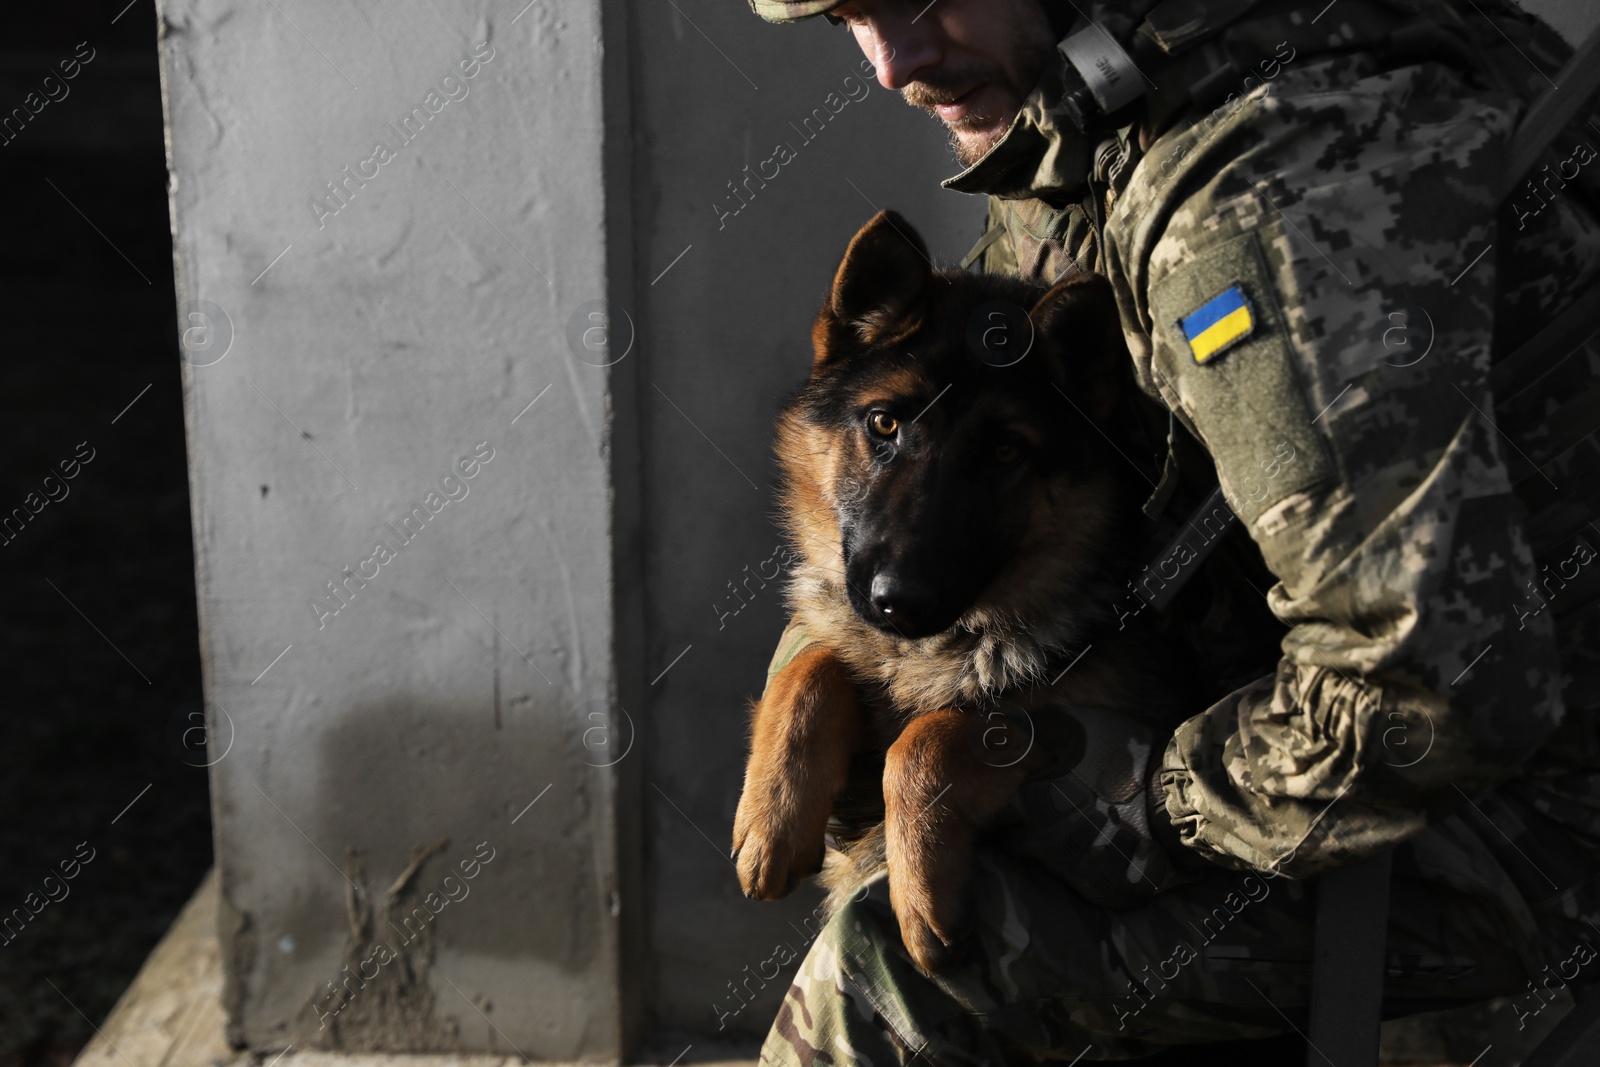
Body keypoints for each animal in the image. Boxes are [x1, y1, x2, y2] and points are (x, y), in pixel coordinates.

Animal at [732, 211, 1203, 979]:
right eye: (884, 423)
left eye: (1005, 452)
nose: (897, 601)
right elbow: (815, 661)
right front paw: (774, 813)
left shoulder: (1113, 724)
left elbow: (938, 731)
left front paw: (921, 889)